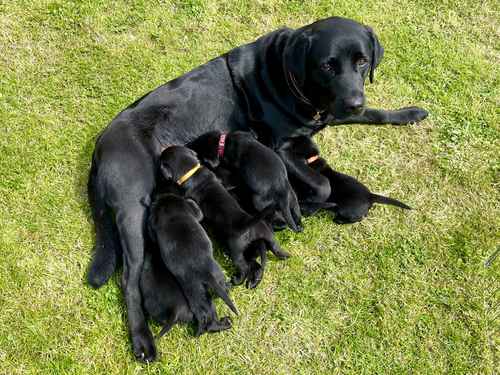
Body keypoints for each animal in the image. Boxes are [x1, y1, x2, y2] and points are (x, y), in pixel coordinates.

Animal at [147, 192, 237, 336]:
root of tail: (203, 273)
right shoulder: (192, 209)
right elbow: (198, 211)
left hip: (198, 294)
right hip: (213, 279)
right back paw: (226, 321)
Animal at [160, 145, 290, 290]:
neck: (191, 171)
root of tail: (247, 224)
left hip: (236, 250)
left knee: (244, 267)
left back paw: (237, 280)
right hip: (267, 234)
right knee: (276, 248)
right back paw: (286, 255)